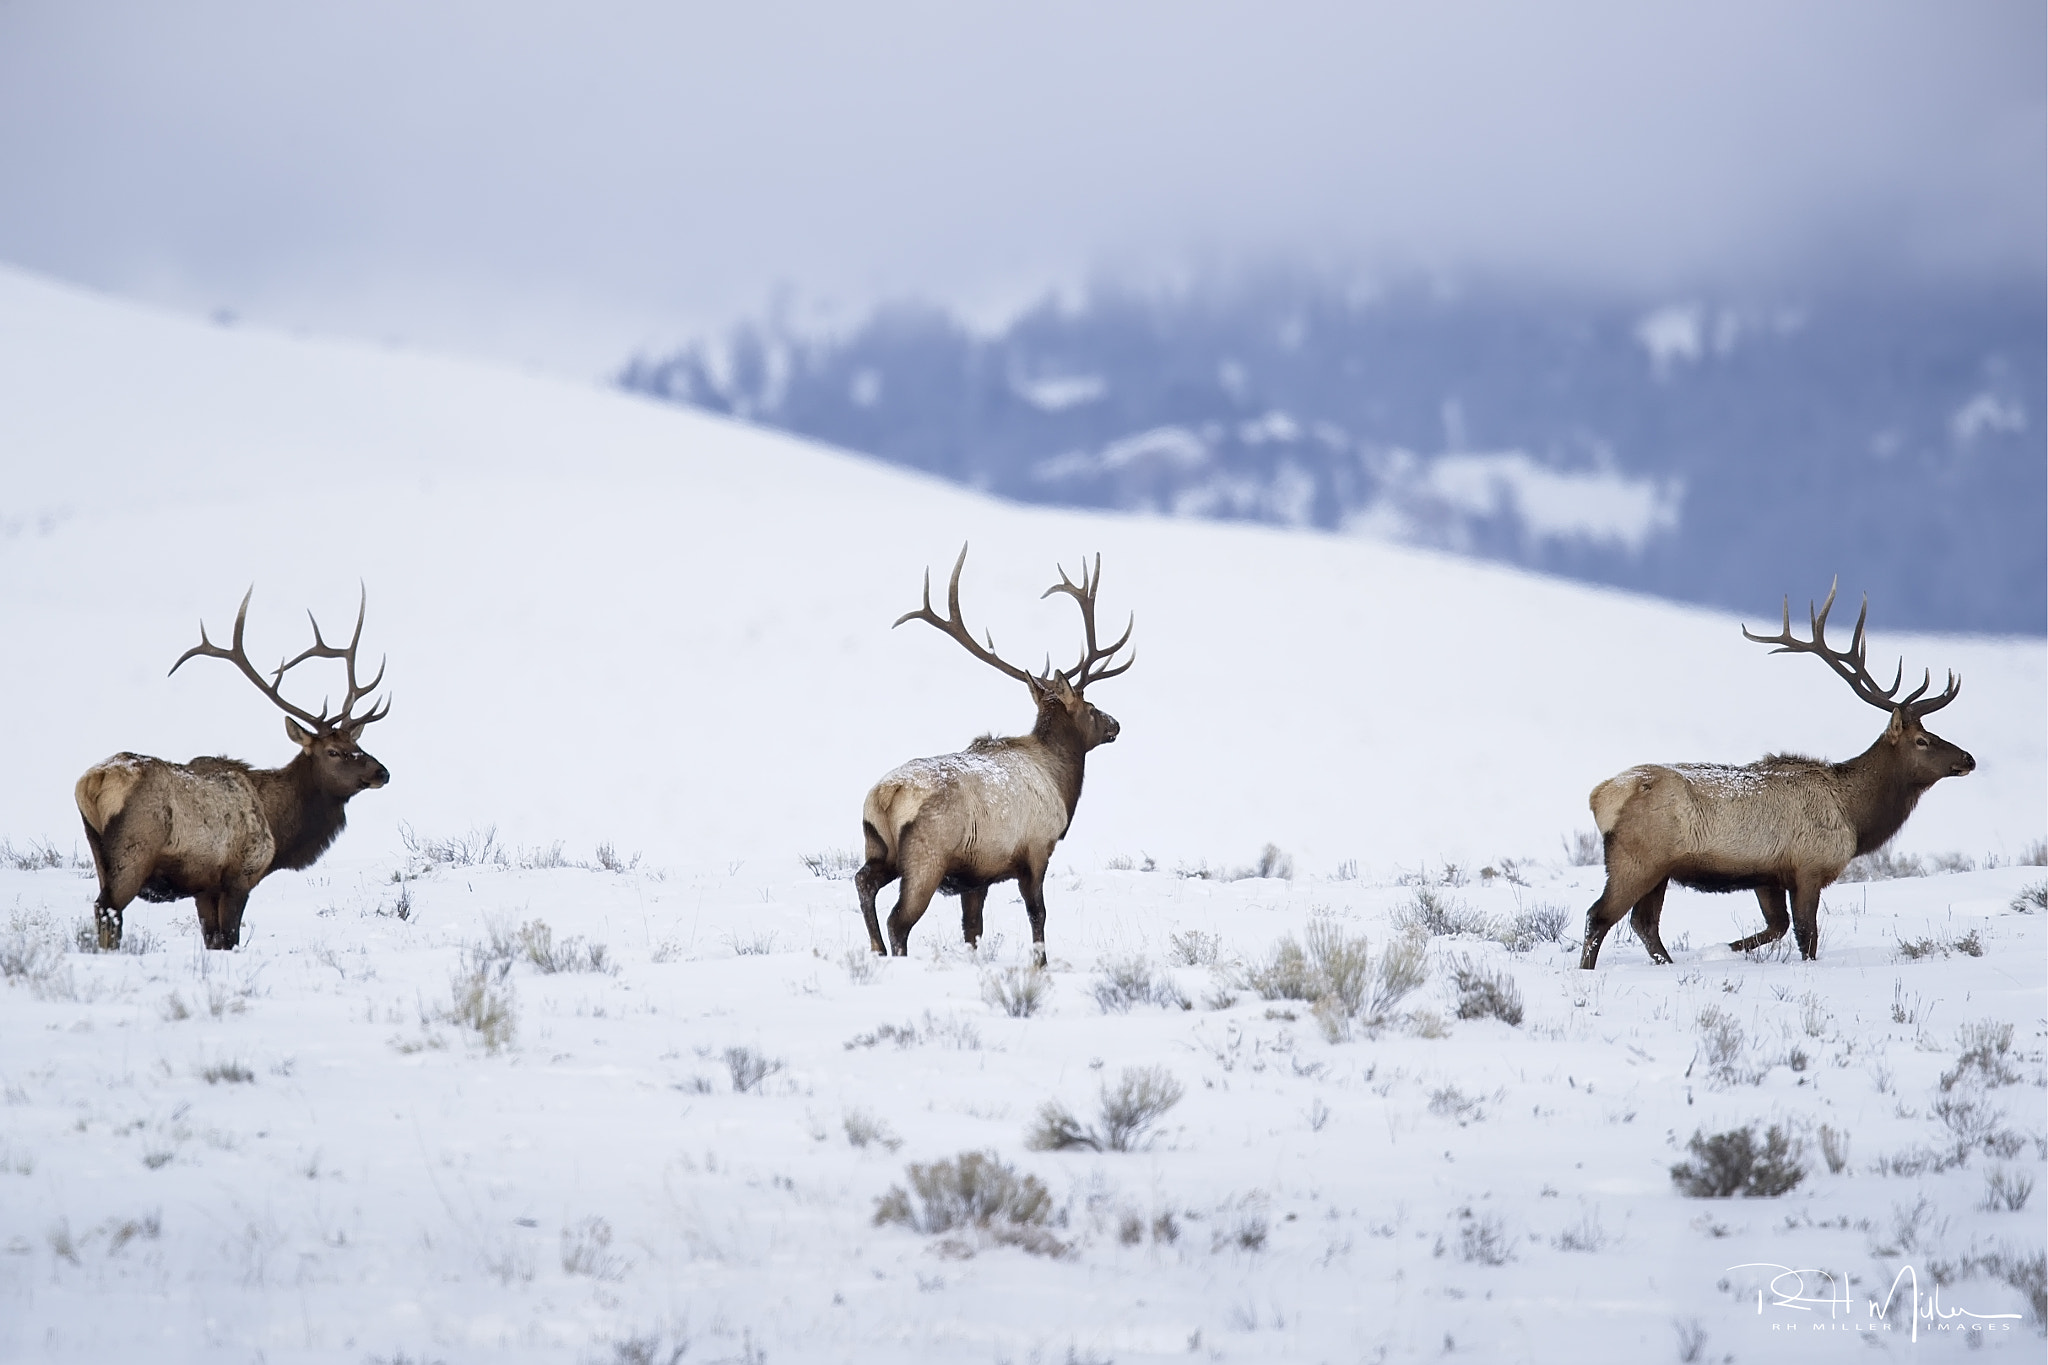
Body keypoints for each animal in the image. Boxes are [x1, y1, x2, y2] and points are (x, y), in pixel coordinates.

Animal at [74, 589, 391, 949]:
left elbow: (212, 939)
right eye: (334, 752)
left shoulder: (204, 888)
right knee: (107, 911)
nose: (383, 772)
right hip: (134, 850)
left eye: (357, 744)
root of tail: (93, 781)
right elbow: (229, 938)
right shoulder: (240, 875)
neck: (278, 825)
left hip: (98, 853)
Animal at [851, 540, 1138, 961]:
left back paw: (877, 952)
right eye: (1089, 706)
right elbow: (1038, 914)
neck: (1061, 782)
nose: (1115, 724)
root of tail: (888, 794)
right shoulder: (1036, 849)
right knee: (898, 919)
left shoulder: (977, 875)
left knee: (863, 882)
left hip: (879, 848)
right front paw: (1040, 964)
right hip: (926, 855)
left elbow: (973, 929)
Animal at [1572, 589, 1974, 970]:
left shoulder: (1767, 876)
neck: (1855, 817)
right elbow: (1806, 935)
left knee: (1644, 923)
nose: (1968, 759)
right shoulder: (1809, 867)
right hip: (1638, 860)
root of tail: (1600, 796)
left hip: (1660, 872)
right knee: (1600, 915)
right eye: (1922, 740)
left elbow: (1776, 927)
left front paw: (1727, 948)